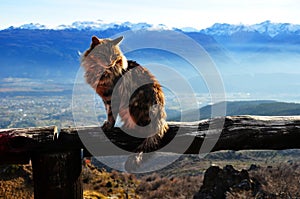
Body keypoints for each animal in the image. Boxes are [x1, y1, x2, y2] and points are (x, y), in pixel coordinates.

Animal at [81, 36, 169, 169]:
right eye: (103, 54)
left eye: (114, 56)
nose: (110, 62)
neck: (100, 71)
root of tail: (159, 120)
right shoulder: (105, 98)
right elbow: (107, 111)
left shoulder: (112, 96)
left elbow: (111, 114)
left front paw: (109, 126)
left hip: (133, 105)